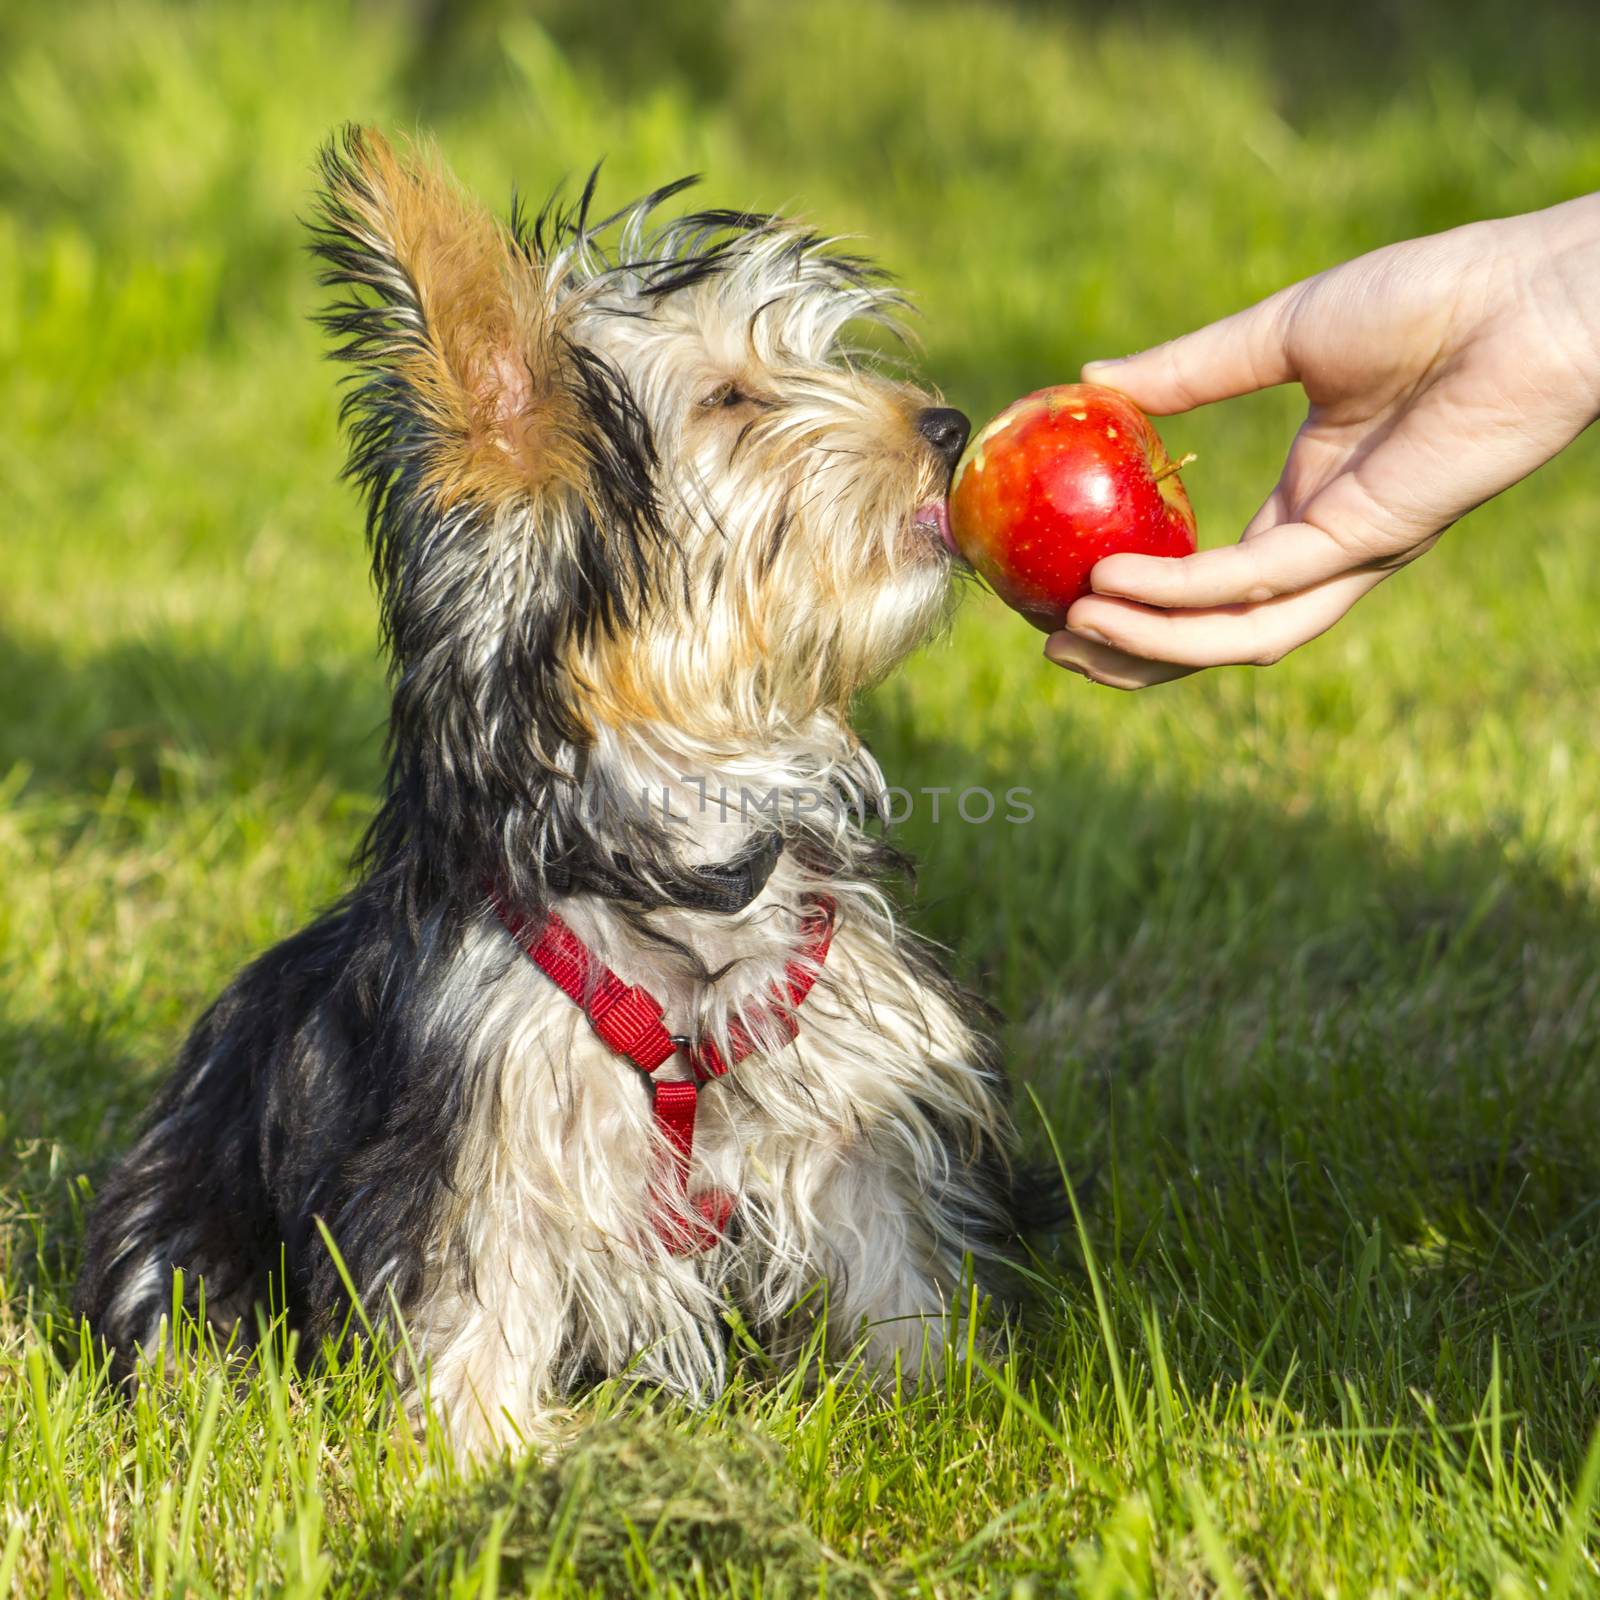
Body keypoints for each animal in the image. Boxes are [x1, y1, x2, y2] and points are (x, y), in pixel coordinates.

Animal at [78, 124, 1036, 1452]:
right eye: (733, 400)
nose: (946, 423)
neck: (686, 846)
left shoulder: (843, 1081)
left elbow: (884, 1240)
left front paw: (936, 1395)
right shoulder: (476, 1130)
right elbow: (478, 1289)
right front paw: (483, 1453)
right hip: (183, 1223)